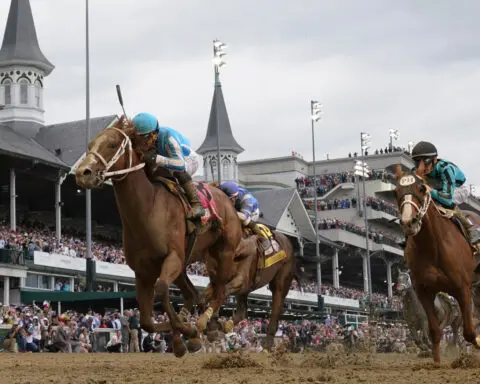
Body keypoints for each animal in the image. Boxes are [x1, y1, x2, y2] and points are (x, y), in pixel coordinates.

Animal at [74, 116, 244, 356]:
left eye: (112, 145)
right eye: (90, 145)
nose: (83, 173)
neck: (149, 209)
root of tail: (227, 198)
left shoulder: (172, 258)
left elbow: (162, 289)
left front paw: (188, 331)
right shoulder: (143, 271)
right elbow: (147, 322)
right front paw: (185, 336)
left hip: (223, 253)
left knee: (220, 291)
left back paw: (206, 324)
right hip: (189, 263)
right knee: (194, 294)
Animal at [394, 166, 480, 362]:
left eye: (421, 189)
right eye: (396, 191)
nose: (408, 222)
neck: (432, 246)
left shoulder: (462, 288)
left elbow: (469, 332)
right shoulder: (424, 292)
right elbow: (433, 332)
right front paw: (436, 362)